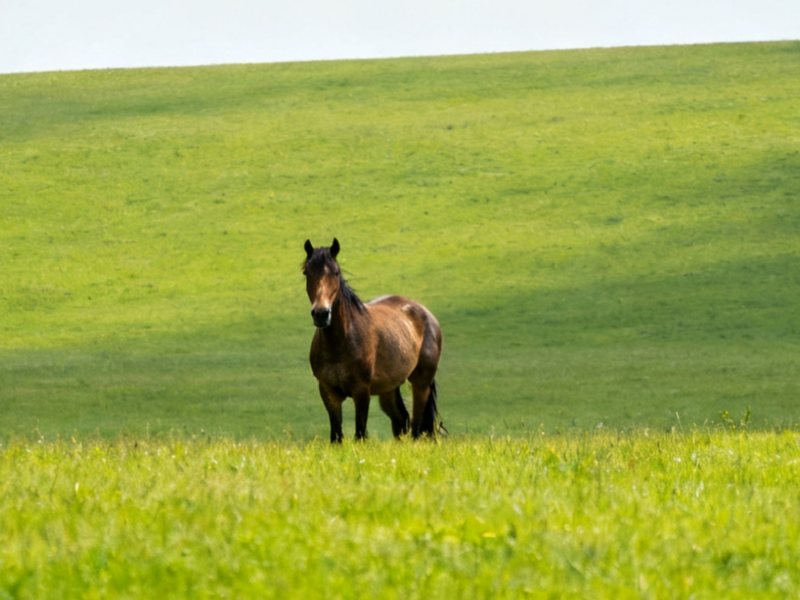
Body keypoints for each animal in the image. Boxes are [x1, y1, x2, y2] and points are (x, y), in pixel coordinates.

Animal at [303, 238, 445, 442]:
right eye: (307, 272)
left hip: (421, 383)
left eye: (335, 272)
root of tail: (427, 314)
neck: (340, 343)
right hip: (389, 389)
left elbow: (360, 434)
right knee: (401, 420)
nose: (321, 314)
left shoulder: (362, 392)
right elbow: (336, 437)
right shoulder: (328, 393)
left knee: (416, 427)